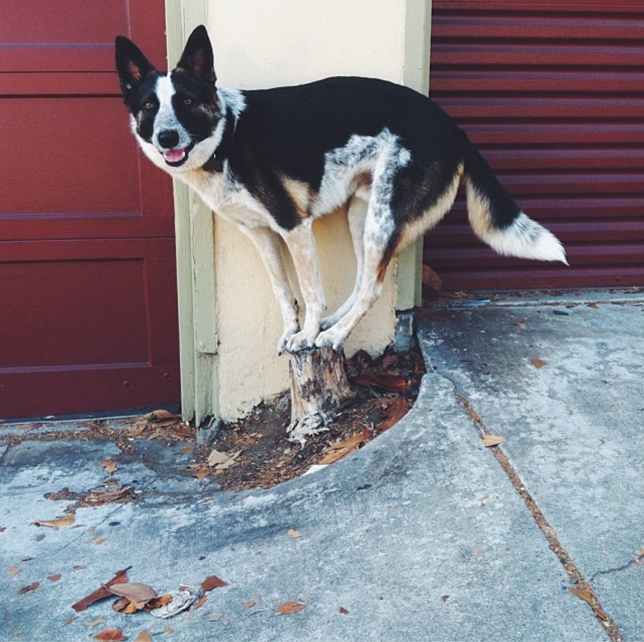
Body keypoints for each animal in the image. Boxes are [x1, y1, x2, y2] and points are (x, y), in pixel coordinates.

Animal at [115, 25, 568, 352]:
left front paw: (306, 335)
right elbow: (283, 291)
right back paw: (335, 324)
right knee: (363, 279)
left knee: (373, 287)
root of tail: (452, 127)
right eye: (149, 107)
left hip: (383, 218)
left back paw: (332, 335)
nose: (167, 138)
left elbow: (311, 292)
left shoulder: (293, 226)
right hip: (362, 214)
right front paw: (292, 331)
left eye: (187, 102)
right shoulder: (260, 233)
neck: (225, 136)